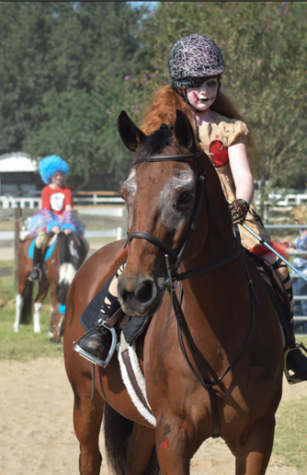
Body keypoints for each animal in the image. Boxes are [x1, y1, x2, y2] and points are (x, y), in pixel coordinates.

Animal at [64, 111, 284, 475]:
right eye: (125, 195)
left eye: (183, 196)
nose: (134, 291)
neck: (220, 340)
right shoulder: (173, 437)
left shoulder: (258, 436)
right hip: (85, 401)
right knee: (89, 456)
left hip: (142, 425)